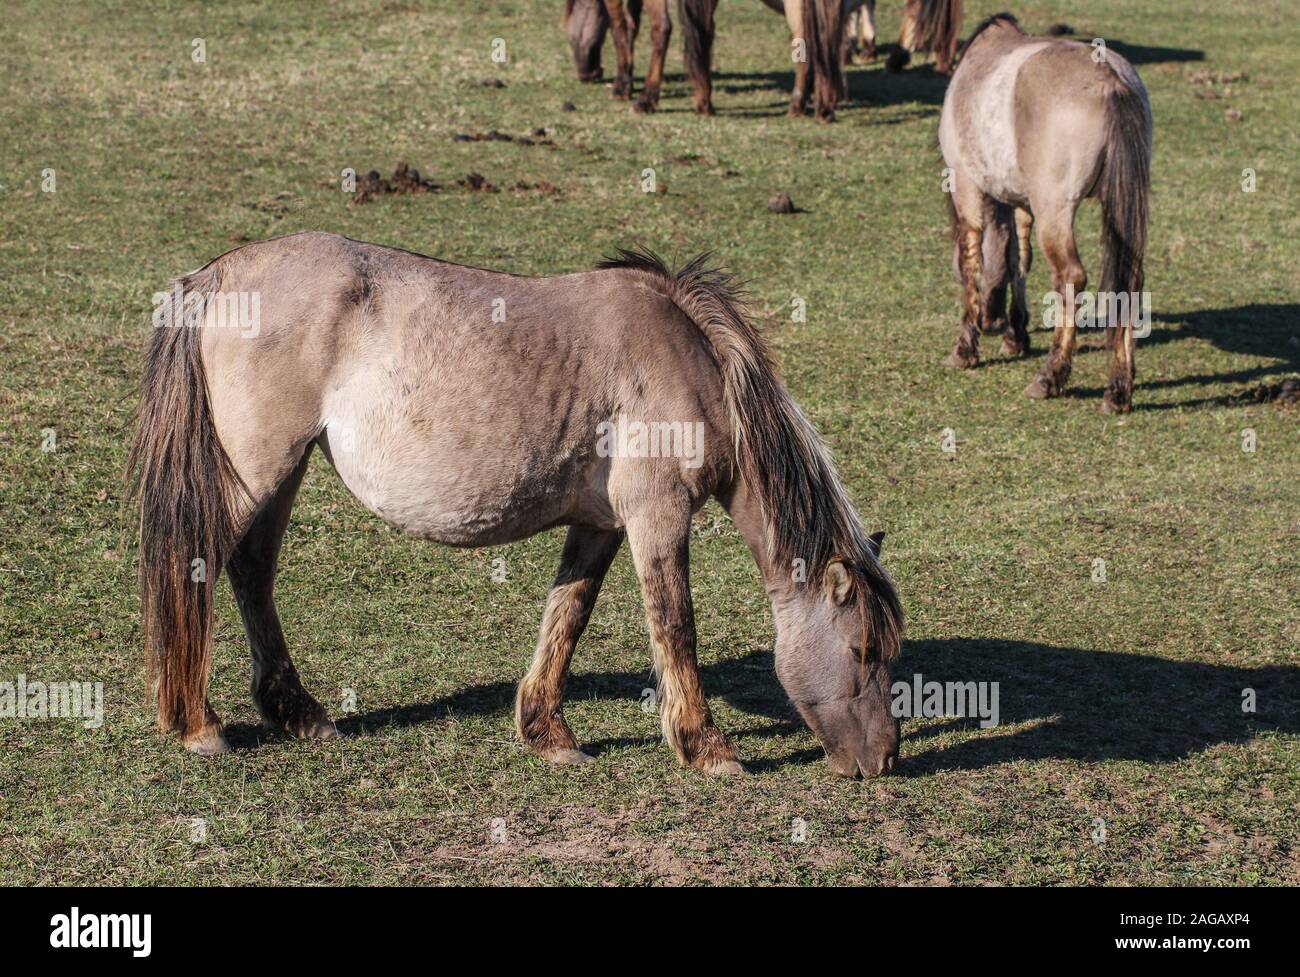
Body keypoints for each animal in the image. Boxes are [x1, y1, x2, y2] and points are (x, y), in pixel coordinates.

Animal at [127, 232, 905, 779]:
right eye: (862, 651)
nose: (886, 758)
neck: (690, 359)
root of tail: (215, 277)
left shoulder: (598, 525)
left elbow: (568, 616)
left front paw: (547, 732)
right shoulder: (657, 515)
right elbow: (674, 625)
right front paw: (707, 747)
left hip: (280, 474)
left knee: (253, 572)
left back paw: (300, 712)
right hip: (254, 472)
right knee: (200, 566)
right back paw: (198, 724)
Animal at [937, 14, 1151, 413]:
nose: (993, 322)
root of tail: (1110, 80)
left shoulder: (967, 188)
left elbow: (975, 260)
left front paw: (966, 348)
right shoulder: (1020, 201)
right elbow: (1018, 257)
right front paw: (1016, 334)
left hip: (1056, 213)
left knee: (1070, 277)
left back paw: (1051, 376)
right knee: (1129, 279)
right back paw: (1118, 389)